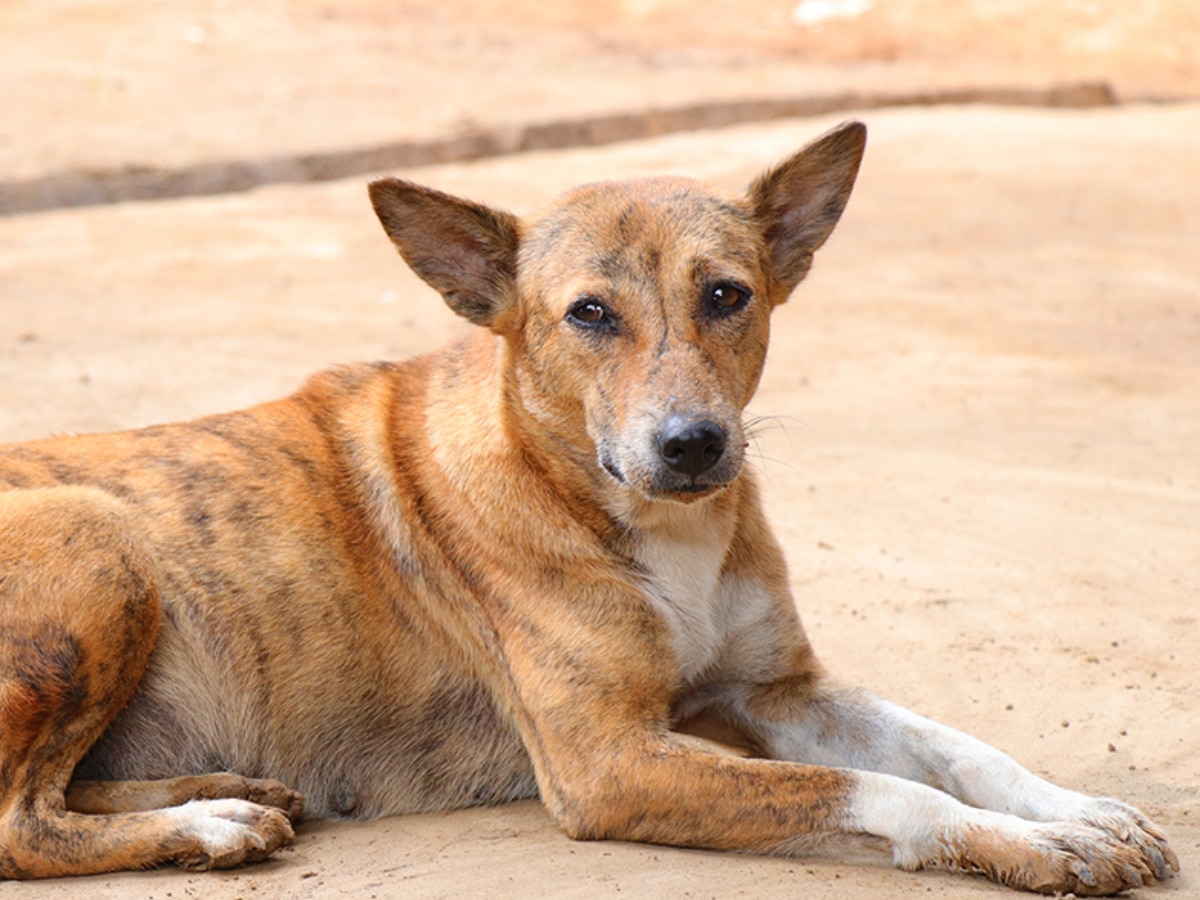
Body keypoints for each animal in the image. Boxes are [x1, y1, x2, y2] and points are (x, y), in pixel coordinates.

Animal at [0, 121, 1180, 897]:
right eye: (590, 315)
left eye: (726, 295)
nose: (693, 444)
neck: (654, 530)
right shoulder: (610, 763)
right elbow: (881, 792)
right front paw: (1032, 847)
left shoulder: (777, 689)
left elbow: (956, 749)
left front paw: (1075, 812)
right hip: (99, 535)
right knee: (22, 825)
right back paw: (204, 826)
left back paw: (226, 793)